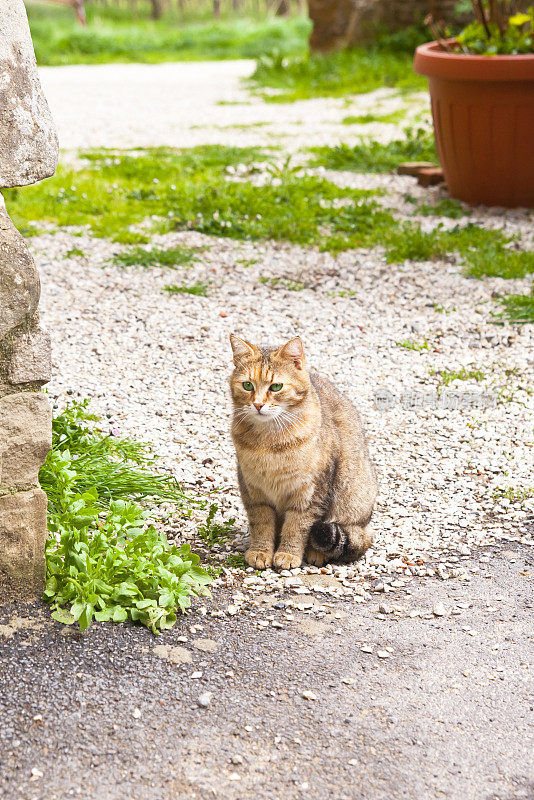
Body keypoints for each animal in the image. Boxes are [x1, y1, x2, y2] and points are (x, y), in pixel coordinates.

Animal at [228, 334, 378, 572]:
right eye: (247, 385)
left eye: (276, 386)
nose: (258, 404)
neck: (268, 442)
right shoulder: (253, 489)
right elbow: (261, 523)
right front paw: (261, 550)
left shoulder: (309, 492)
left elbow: (297, 526)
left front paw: (288, 554)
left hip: (351, 502)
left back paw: (316, 552)